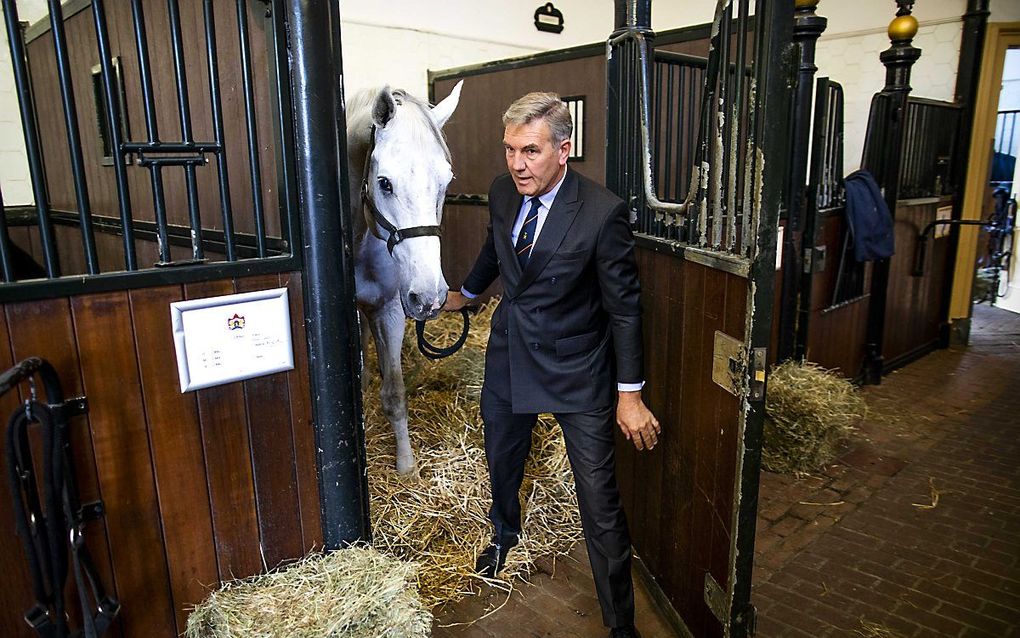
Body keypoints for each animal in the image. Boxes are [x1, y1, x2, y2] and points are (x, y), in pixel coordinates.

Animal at [348, 80, 465, 473]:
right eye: (384, 183)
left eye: (446, 182)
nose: (429, 296)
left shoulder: (390, 311)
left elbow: (396, 393)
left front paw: (406, 464)